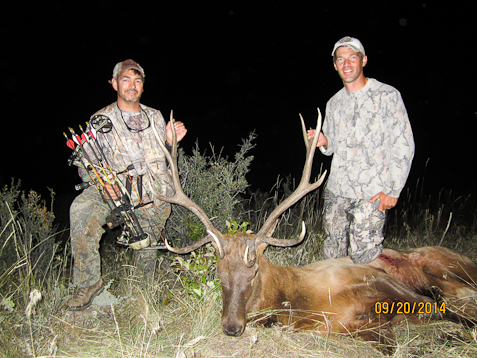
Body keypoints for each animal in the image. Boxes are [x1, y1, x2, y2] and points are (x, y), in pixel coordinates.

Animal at [153, 110, 476, 346]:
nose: (231, 327)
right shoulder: (359, 329)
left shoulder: (370, 276)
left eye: (253, 271)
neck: (303, 302)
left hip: (450, 266)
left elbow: (436, 306)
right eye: (219, 274)